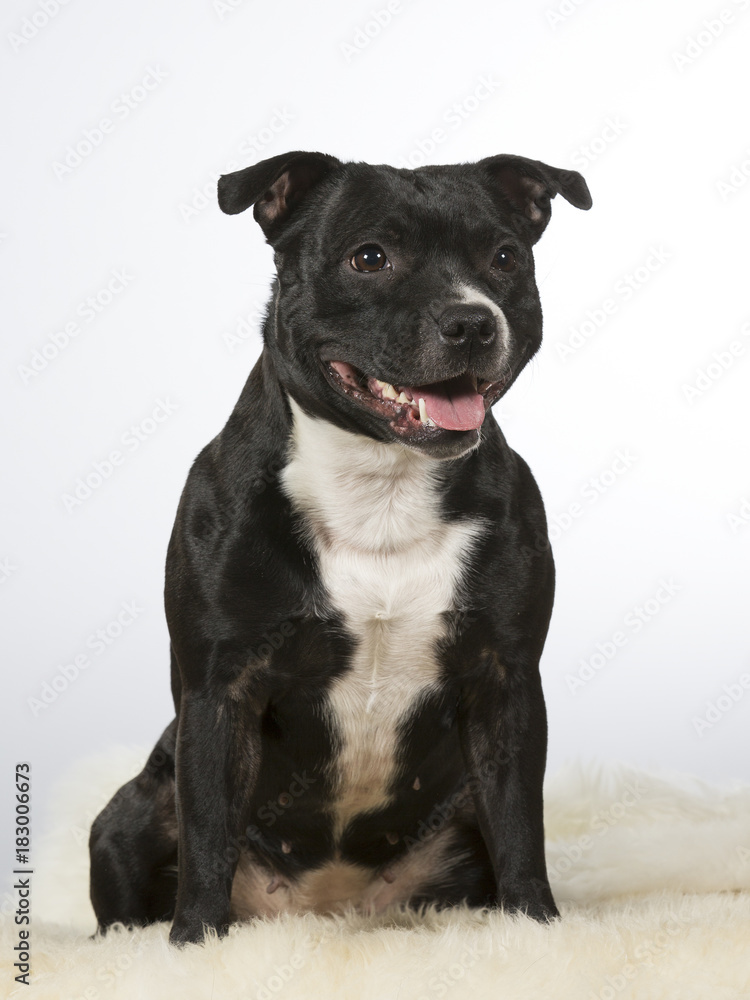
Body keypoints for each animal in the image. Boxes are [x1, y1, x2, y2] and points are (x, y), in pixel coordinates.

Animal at [89, 148, 592, 944]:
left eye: (506, 257)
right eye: (369, 258)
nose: (472, 321)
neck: (380, 485)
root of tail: (329, 912)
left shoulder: (505, 683)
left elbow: (520, 828)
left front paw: (536, 928)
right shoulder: (220, 690)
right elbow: (207, 837)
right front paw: (194, 946)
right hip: (131, 813)